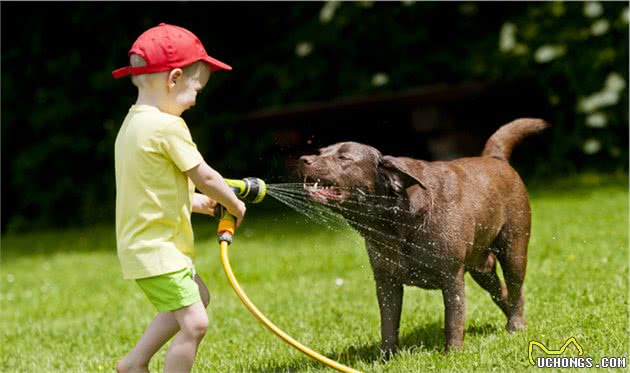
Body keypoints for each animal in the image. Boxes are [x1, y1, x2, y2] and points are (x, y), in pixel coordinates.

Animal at [298, 117, 552, 356]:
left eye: (344, 158)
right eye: (320, 152)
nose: (304, 159)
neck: (396, 220)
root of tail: (495, 158)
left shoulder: (451, 277)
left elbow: (453, 319)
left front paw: (452, 355)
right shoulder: (386, 282)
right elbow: (388, 325)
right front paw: (386, 359)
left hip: (513, 250)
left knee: (516, 289)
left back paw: (516, 326)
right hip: (482, 268)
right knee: (501, 291)